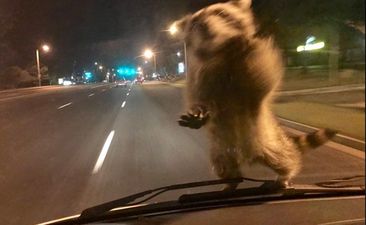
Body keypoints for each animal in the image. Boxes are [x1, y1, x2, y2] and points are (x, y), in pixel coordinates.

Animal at [176, 0, 336, 188]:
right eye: (195, 23)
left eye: (220, 13)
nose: (203, 25)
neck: (219, 51)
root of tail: (248, 157)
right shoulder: (199, 74)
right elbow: (198, 97)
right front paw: (198, 112)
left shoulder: (256, 59)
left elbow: (262, 78)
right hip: (220, 149)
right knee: (222, 165)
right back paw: (231, 182)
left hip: (269, 141)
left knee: (283, 158)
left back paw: (286, 174)